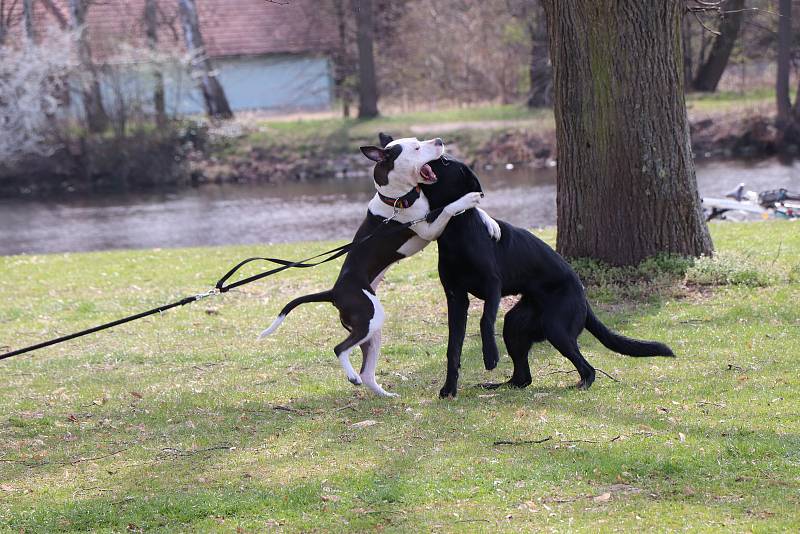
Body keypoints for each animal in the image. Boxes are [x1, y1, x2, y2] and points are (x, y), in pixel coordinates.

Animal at [260, 138, 500, 398]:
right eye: (416, 148)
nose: (439, 141)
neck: (397, 198)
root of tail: (334, 292)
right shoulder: (429, 229)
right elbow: (449, 207)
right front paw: (467, 200)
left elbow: (461, 209)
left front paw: (492, 224)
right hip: (369, 318)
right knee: (339, 349)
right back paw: (351, 376)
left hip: (372, 331)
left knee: (367, 371)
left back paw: (384, 394)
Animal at [376, 136, 676, 400]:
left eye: (446, 162)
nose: (438, 142)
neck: (457, 226)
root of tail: (583, 296)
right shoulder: (456, 298)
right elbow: (454, 347)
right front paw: (449, 389)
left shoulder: (492, 285)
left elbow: (485, 320)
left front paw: (490, 357)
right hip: (516, 325)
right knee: (523, 378)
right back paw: (495, 386)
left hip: (556, 327)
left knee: (587, 368)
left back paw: (580, 384)